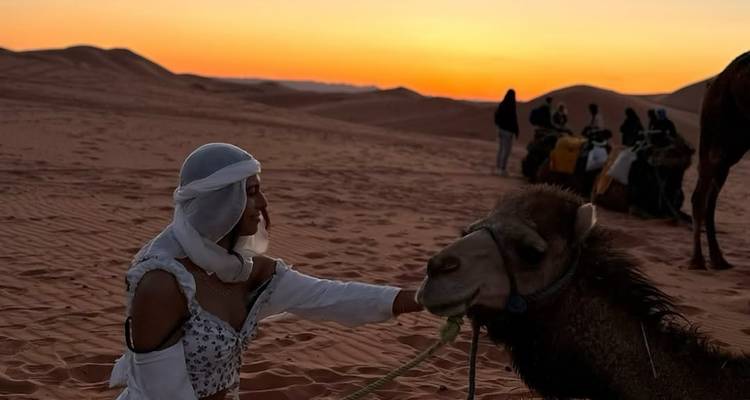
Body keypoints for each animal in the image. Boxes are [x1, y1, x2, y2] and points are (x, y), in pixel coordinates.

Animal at [691, 51, 750, 270]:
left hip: (733, 147)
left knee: (710, 199)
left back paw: (718, 259)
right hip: (717, 135)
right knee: (700, 196)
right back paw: (697, 260)